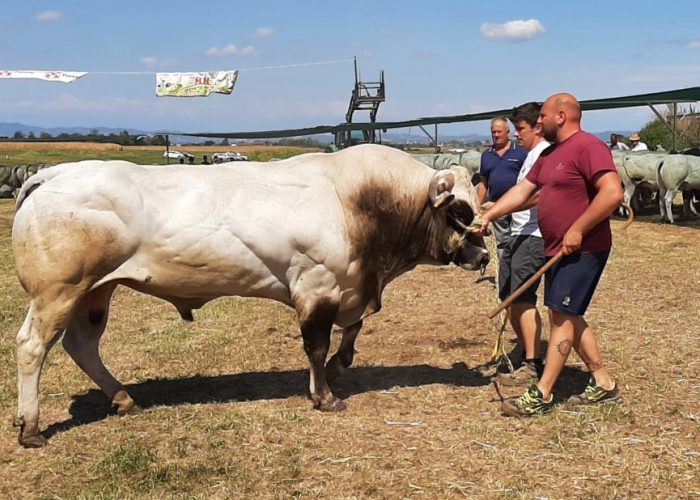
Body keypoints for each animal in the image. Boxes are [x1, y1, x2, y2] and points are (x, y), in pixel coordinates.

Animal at [12, 143, 492, 448]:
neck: (360, 202)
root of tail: (56, 172)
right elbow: (317, 346)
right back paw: (31, 428)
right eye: (459, 209)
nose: (484, 255)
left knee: (81, 345)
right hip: (58, 292)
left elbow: (352, 334)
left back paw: (122, 398)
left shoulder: (350, 287)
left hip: (94, 291)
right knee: (32, 347)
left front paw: (338, 369)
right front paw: (324, 395)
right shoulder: (317, 287)